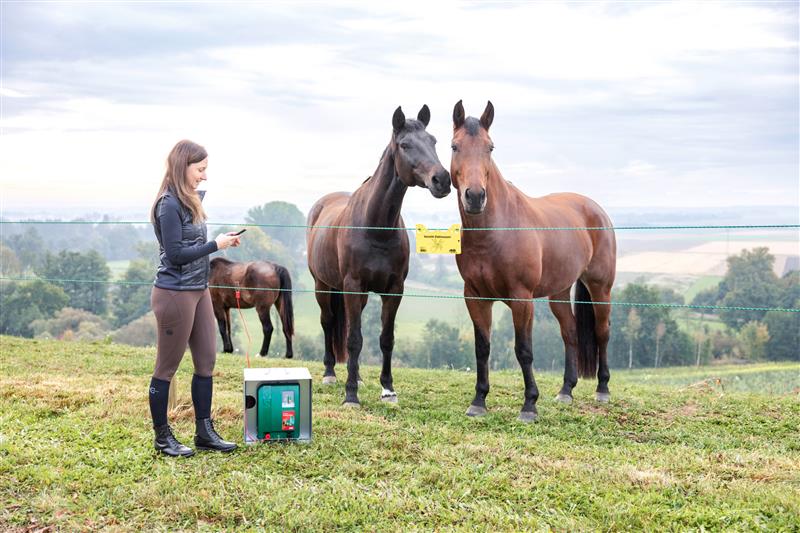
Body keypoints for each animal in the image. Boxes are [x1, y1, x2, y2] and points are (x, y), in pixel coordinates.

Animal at [307, 104, 452, 406]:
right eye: (405, 144)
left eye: (433, 141)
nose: (442, 180)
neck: (376, 228)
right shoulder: (352, 286)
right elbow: (353, 339)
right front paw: (351, 395)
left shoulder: (393, 290)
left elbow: (386, 338)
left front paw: (388, 389)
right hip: (322, 286)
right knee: (329, 323)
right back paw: (330, 374)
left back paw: (359, 376)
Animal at [450, 100, 617, 422]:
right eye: (454, 146)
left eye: (490, 147)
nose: (475, 197)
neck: (496, 231)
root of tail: (594, 208)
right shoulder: (475, 297)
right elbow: (482, 348)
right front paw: (479, 401)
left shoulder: (522, 299)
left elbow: (523, 350)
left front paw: (529, 405)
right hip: (559, 293)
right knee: (570, 333)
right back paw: (566, 391)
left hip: (600, 288)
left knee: (602, 332)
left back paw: (602, 389)